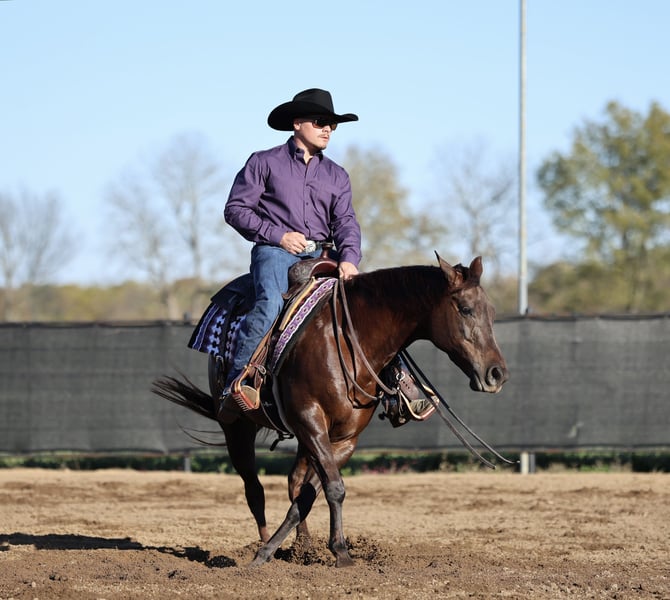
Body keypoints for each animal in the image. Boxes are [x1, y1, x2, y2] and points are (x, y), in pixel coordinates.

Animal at [152, 254, 509, 567]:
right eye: (465, 309)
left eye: (492, 311)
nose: (496, 374)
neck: (349, 340)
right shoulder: (310, 421)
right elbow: (333, 488)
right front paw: (331, 552)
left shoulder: (343, 437)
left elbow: (311, 494)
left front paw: (316, 549)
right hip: (237, 428)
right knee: (254, 489)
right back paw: (265, 542)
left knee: (295, 482)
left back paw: (301, 545)